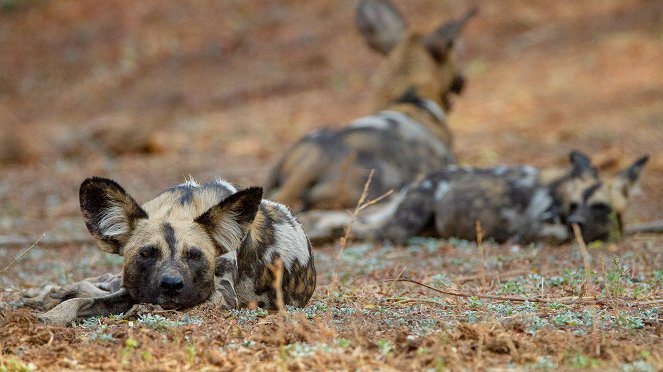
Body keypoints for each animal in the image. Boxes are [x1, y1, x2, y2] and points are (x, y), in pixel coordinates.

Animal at [33, 176, 316, 324]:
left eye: (194, 255)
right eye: (147, 253)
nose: (171, 285)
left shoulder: (222, 297)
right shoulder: (132, 290)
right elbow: (80, 302)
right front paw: (53, 316)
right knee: (99, 282)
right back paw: (44, 293)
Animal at [300, 151, 648, 244]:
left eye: (601, 208)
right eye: (575, 205)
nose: (576, 220)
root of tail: (419, 181)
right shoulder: (535, 230)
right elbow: (555, 233)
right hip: (405, 222)